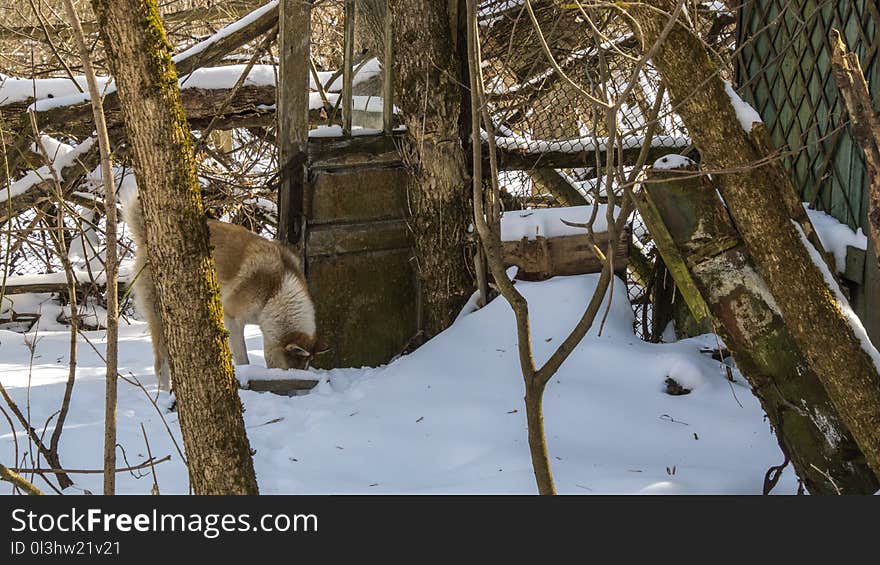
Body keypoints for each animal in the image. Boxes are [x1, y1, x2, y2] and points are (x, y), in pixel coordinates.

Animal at [122, 196, 316, 390]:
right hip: (159, 317)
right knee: (160, 364)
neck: (276, 289)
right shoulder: (232, 319)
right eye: (294, 370)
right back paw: (162, 392)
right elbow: (243, 358)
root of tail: (147, 238)